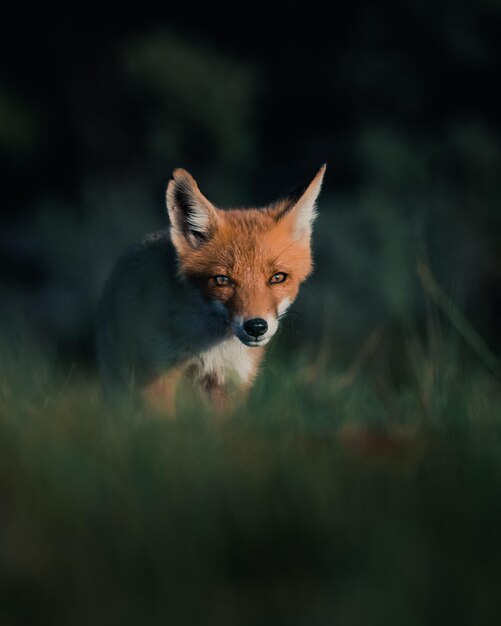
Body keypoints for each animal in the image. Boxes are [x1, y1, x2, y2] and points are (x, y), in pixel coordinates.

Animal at [95, 163, 326, 412]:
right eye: (222, 280)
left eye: (278, 277)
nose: (256, 327)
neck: (210, 349)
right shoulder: (158, 377)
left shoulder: (230, 382)